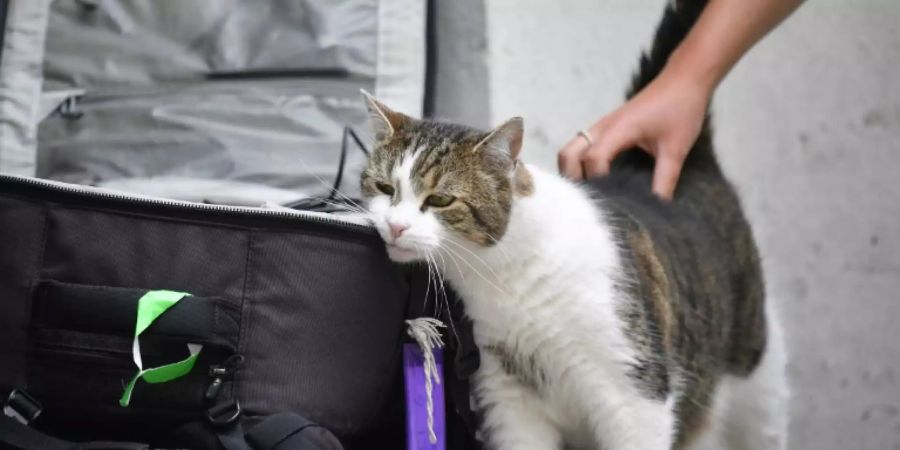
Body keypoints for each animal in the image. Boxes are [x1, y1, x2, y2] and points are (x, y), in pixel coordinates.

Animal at [358, 1, 788, 448]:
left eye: (440, 199)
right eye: (384, 187)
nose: (395, 226)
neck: (504, 279)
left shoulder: (635, 396)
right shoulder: (508, 396)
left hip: (756, 389)